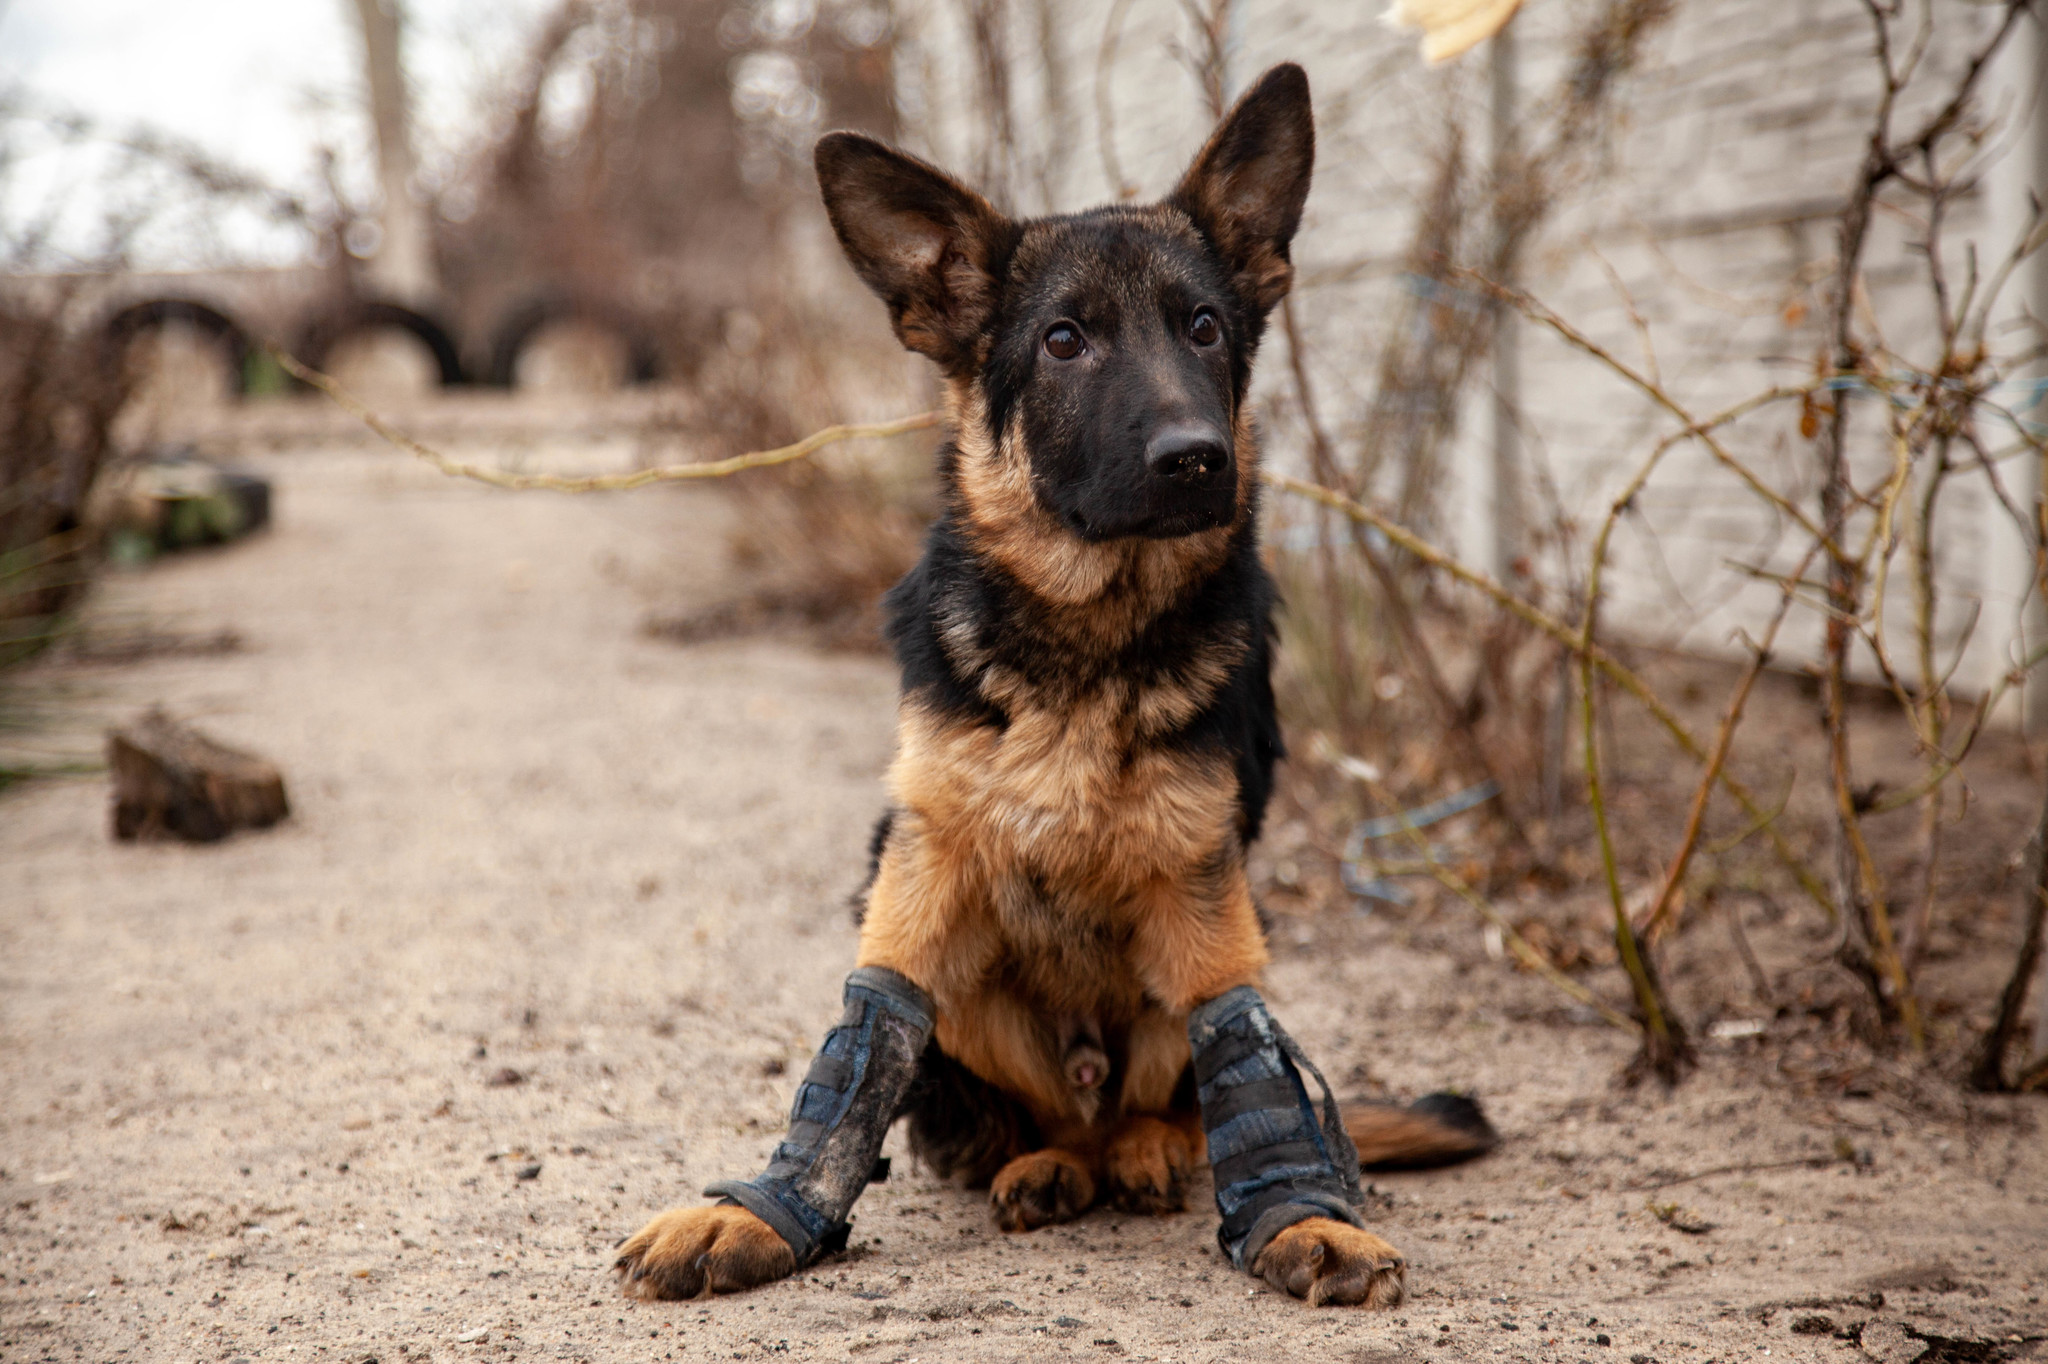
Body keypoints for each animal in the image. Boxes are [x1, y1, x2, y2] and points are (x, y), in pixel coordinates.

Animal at [606, 61, 1490, 1310]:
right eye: (1064, 340)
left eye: (1203, 327)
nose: (1195, 458)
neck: (1086, 640)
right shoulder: (920, 873)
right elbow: (863, 1042)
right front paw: (760, 1212)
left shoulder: (1203, 901)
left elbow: (1244, 1056)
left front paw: (1299, 1214)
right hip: (957, 961)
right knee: (1044, 1119)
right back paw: (1047, 1163)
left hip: (1207, 947)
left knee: (1167, 1107)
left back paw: (1145, 1150)